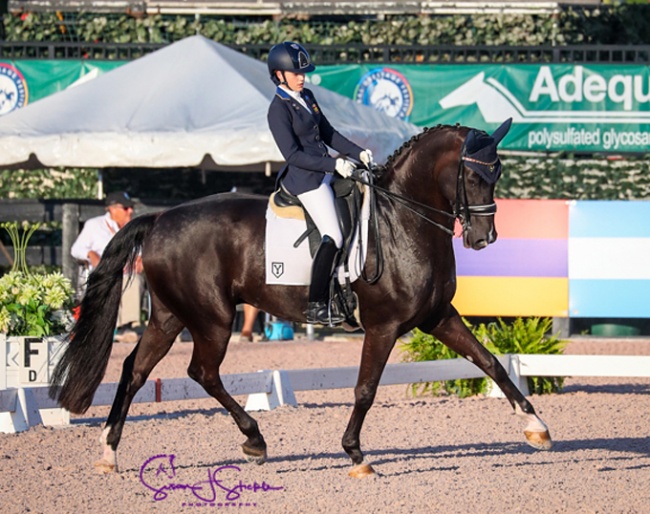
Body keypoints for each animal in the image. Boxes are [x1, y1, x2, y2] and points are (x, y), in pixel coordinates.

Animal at [49, 120, 552, 476]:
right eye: (471, 174)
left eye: (498, 173)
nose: (484, 238)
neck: (403, 221)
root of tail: (159, 218)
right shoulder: (384, 326)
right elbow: (365, 389)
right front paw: (356, 455)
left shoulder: (438, 317)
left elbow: (490, 362)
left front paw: (537, 428)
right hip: (212, 318)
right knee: (201, 372)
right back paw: (254, 439)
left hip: (171, 316)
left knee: (135, 371)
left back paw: (109, 452)